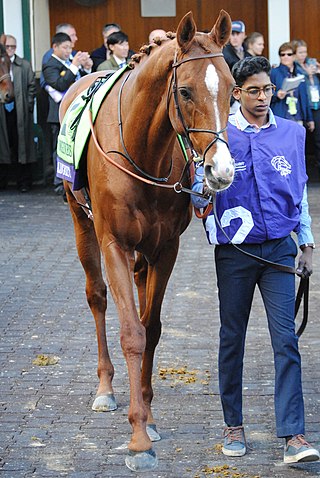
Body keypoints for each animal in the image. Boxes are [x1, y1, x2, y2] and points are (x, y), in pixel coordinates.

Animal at [59, 11, 235, 470]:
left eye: (233, 89)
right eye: (185, 90)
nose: (222, 170)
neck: (143, 149)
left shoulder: (166, 248)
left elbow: (150, 328)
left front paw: (150, 417)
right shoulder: (114, 243)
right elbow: (131, 333)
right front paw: (139, 438)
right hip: (80, 222)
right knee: (97, 296)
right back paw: (106, 389)